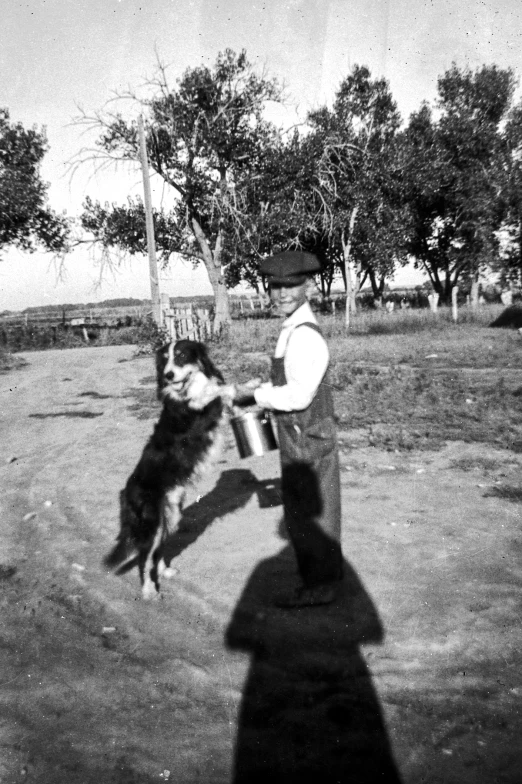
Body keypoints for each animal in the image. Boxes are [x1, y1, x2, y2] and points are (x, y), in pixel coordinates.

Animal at [102, 338, 233, 600]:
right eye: (164, 360)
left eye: (181, 356)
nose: (168, 375)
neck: (187, 389)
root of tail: (125, 492)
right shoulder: (201, 414)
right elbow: (216, 393)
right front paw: (240, 387)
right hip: (151, 521)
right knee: (144, 557)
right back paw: (149, 590)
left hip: (169, 516)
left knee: (156, 550)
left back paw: (164, 571)